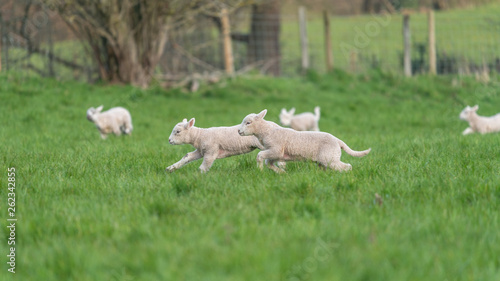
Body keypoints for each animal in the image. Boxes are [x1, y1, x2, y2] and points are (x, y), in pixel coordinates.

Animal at [238, 108, 372, 172]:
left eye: (248, 123)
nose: (239, 131)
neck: (267, 131)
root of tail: (338, 141)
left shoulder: (276, 150)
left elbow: (260, 156)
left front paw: (259, 170)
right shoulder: (276, 154)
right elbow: (268, 163)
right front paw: (281, 173)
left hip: (330, 158)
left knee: (347, 167)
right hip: (324, 161)